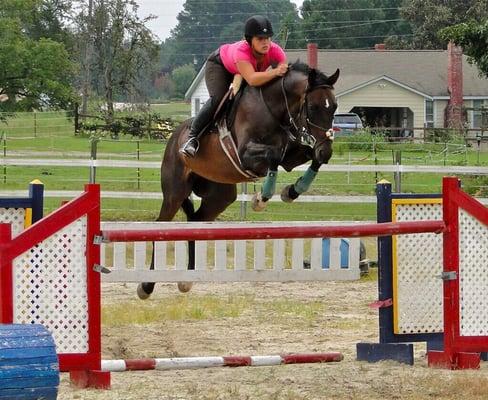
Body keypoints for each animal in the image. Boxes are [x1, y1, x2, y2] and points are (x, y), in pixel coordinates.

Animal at [137, 61, 340, 298]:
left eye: (334, 107)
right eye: (314, 107)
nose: (326, 146)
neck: (273, 110)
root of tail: (174, 136)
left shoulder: (290, 156)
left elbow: (312, 158)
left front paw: (292, 191)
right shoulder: (245, 156)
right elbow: (272, 156)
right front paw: (261, 199)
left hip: (220, 196)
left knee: (195, 221)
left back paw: (186, 280)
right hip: (175, 192)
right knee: (161, 225)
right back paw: (146, 285)